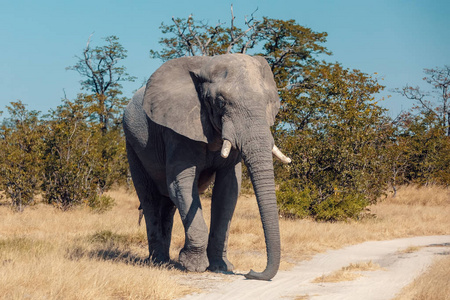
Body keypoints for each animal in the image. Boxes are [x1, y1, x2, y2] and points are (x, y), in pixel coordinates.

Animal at [124, 52, 292, 280]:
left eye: (269, 102)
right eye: (220, 102)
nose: (251, 272)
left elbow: (229, 190)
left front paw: (221, 267)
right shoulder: (177, 131)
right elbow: (182, 185)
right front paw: (193, 266)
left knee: (167, 205)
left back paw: (165, 261)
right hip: (132, 145)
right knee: (150, 200)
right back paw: (158, 261)